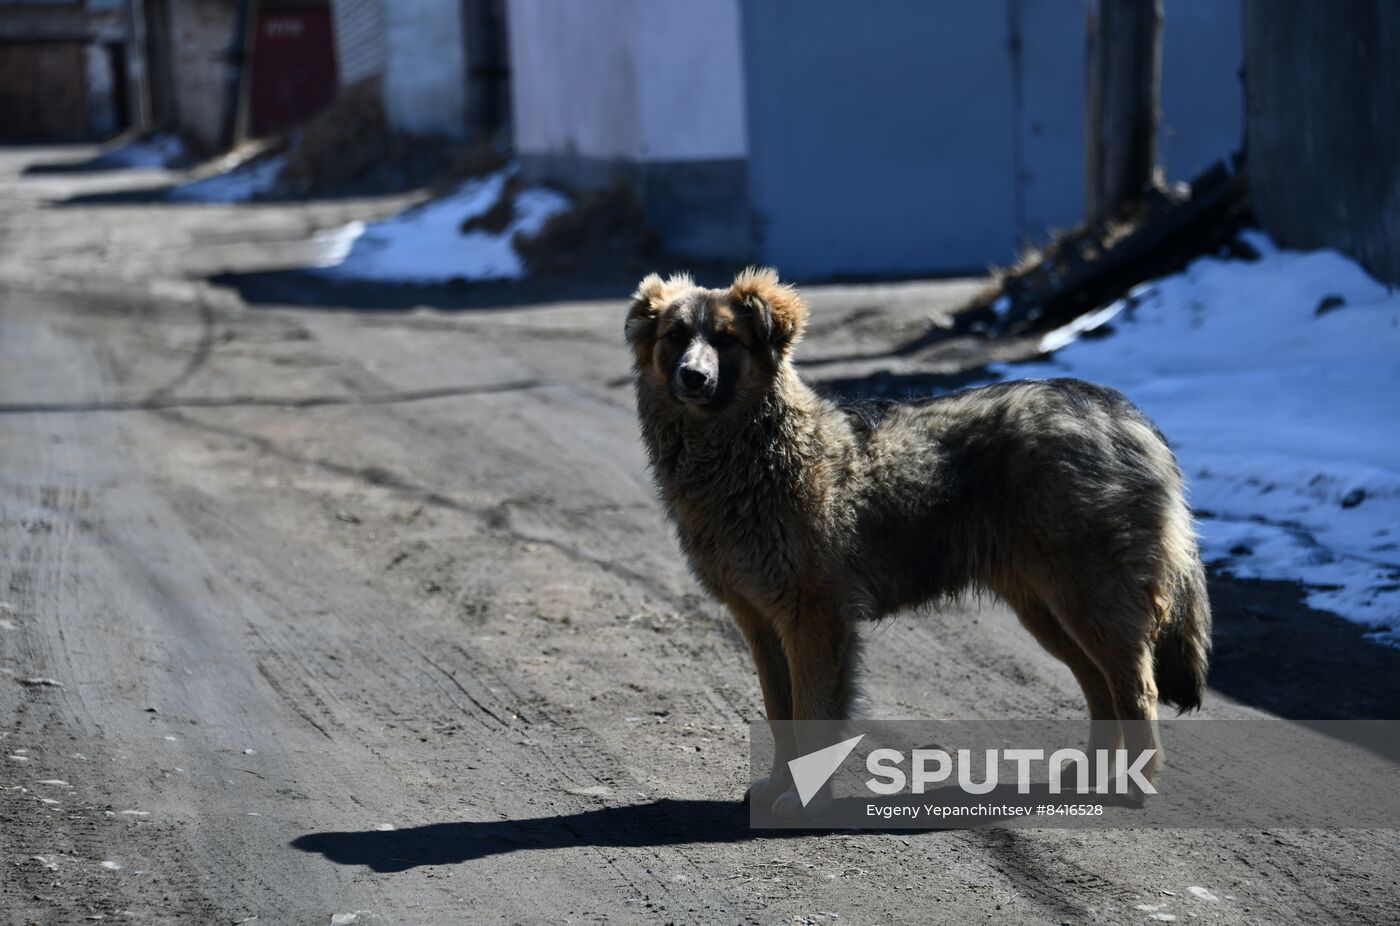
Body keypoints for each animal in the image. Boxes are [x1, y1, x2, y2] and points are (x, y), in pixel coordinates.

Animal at [627, 268, 1215, 818]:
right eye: (676, 336)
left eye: (726, 340)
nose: (693, 377)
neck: (752, 450)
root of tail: (1122, 412)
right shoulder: (759, 619)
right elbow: (780, 715)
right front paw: (778, 787)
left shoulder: (813, 616)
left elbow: (812, 715)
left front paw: (804, 799)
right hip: (1048, 608)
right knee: (1101, 688)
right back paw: (1089, 774)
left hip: (1090, 599)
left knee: (1137, 691)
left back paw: (1135, 784)